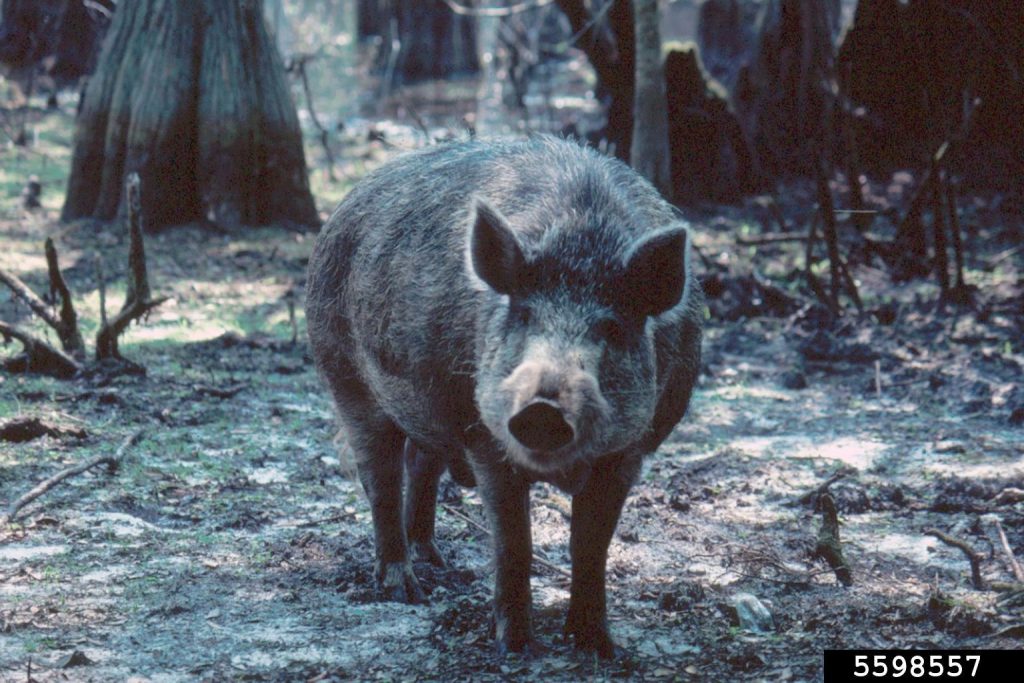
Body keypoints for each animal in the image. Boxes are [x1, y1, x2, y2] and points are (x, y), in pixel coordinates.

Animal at [306, 136, 702, 657]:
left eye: (611, 328)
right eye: (525, 315)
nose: (543, 409)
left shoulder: (631, 451)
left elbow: (591, 545)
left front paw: (599, 648)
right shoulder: (484, 436)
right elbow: (515, 540)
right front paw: (516, 647)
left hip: (429, 409)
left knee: (421, 462)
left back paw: (434, 559)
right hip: (343, 373)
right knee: (380, 476)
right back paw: (405, 590)